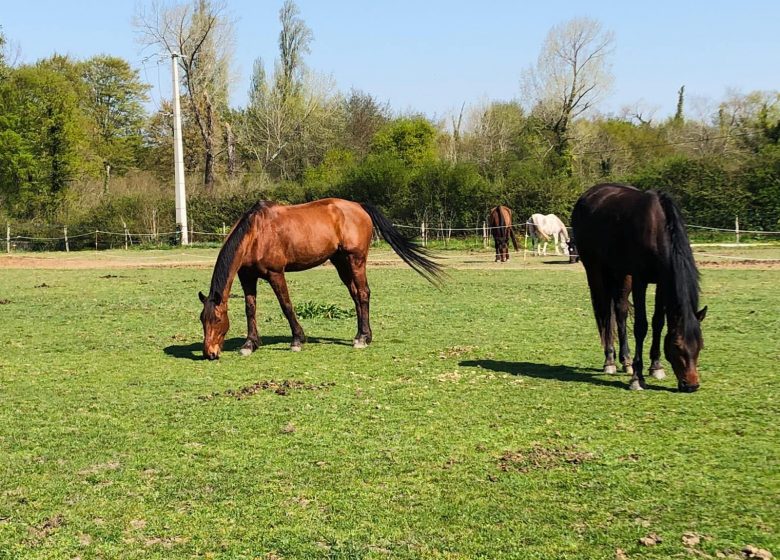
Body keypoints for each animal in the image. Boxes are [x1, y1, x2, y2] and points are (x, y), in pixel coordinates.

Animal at [198, 199, 442, 360]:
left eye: (217, 319)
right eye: (202, 320)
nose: (210, 353)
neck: (256, 233)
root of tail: (360, 206)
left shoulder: (276, 273)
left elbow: (286, 305)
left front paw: (297, 340)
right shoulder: (247, 276)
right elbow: (250, 309)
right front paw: (250, 344)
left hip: (356, 260)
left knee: (363, 293)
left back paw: (363, 339)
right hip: (341, 262)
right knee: (355, 295)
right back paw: (360, 335)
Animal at [568, 186, 708, 392]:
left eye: (700, 345)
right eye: (677, 345)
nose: (691, 385)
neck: (657, 229)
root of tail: (590, 194)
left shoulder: (662, 281)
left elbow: (658, 322)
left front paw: (656, 366)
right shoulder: (640, 280)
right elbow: (641, 326)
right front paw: (637, 377)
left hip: (621, 273)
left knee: (620, 311)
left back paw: (625, 361)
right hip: (595, 270)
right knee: (605, 314)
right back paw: (610, 361)